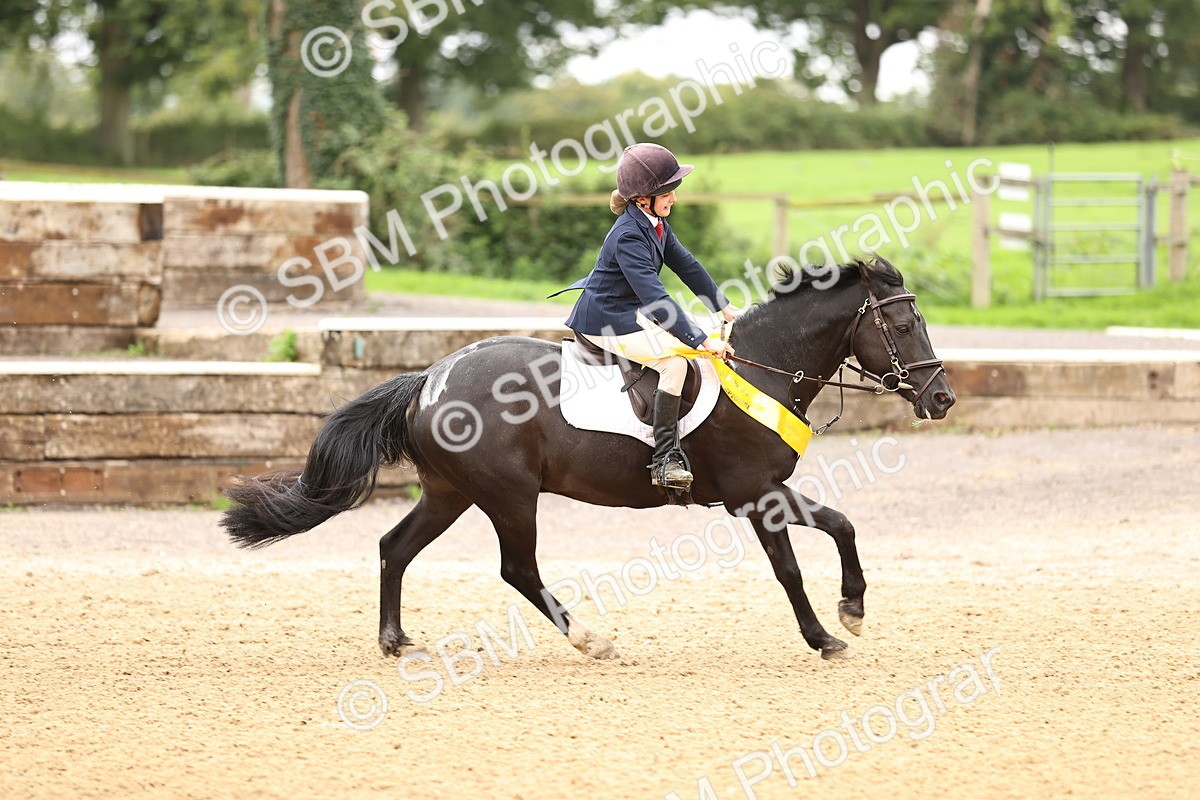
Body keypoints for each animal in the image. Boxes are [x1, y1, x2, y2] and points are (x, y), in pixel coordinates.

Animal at [221, 257, 955, 661]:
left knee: (393, 547)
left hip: (449, 493)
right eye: (903, 324)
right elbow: (791, 569)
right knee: (517, 568)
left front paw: (851, 608)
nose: (942, 397)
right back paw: (589, 640)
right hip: (508, 495)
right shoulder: (755, 493)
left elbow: (841, 525)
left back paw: (395, 639)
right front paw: (826, 635)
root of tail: (428, 378)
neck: (763, 366)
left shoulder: (766, 490)